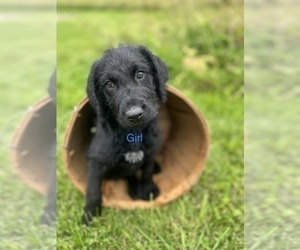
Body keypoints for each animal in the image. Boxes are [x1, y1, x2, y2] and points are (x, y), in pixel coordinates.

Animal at [82, 45, 169, 225]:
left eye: (140, 74)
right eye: (109, 84)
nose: (134, 115)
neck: (133, 134)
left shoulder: (151, 150)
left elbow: (147, 172)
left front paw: (148, 190)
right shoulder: (95, 161)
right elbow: (93, 190)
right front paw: (89, 216)